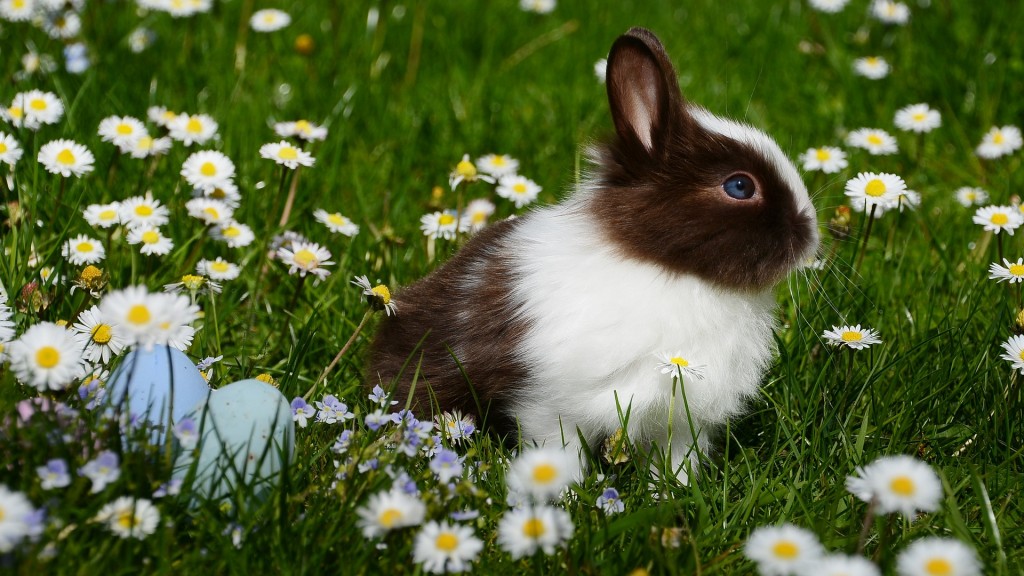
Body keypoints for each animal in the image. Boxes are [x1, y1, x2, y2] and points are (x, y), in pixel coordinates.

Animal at [367, 27, 819, 483]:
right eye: (740, 186)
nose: (811, 234)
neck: (668, 270)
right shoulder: (550, 406)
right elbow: (558, 454)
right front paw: (564, 493)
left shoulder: (681, 419)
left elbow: (676, 461)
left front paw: (670, 491)